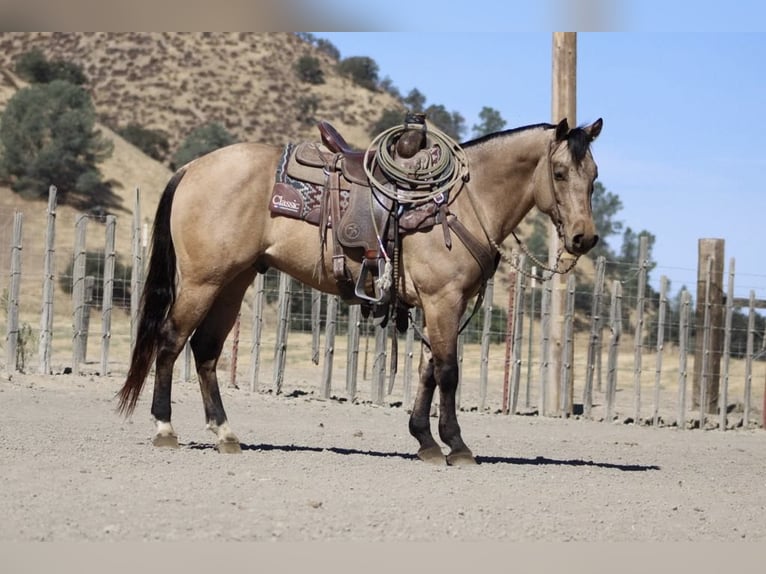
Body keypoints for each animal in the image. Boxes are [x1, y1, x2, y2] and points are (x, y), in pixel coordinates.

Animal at [117, 117, 603, 465]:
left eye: (594, 175)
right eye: (560, 172)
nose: (584, 238)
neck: (462, 202)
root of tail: (192, 168)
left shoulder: (436, 306)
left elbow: (428, 369)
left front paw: (424, 440)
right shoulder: (442, 300)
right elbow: (447, 371)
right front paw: (457, 446)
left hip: (234, 281)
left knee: (206, 350)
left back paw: (225, 433)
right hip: (203, 281)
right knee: (171, 341)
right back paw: (165, 429)